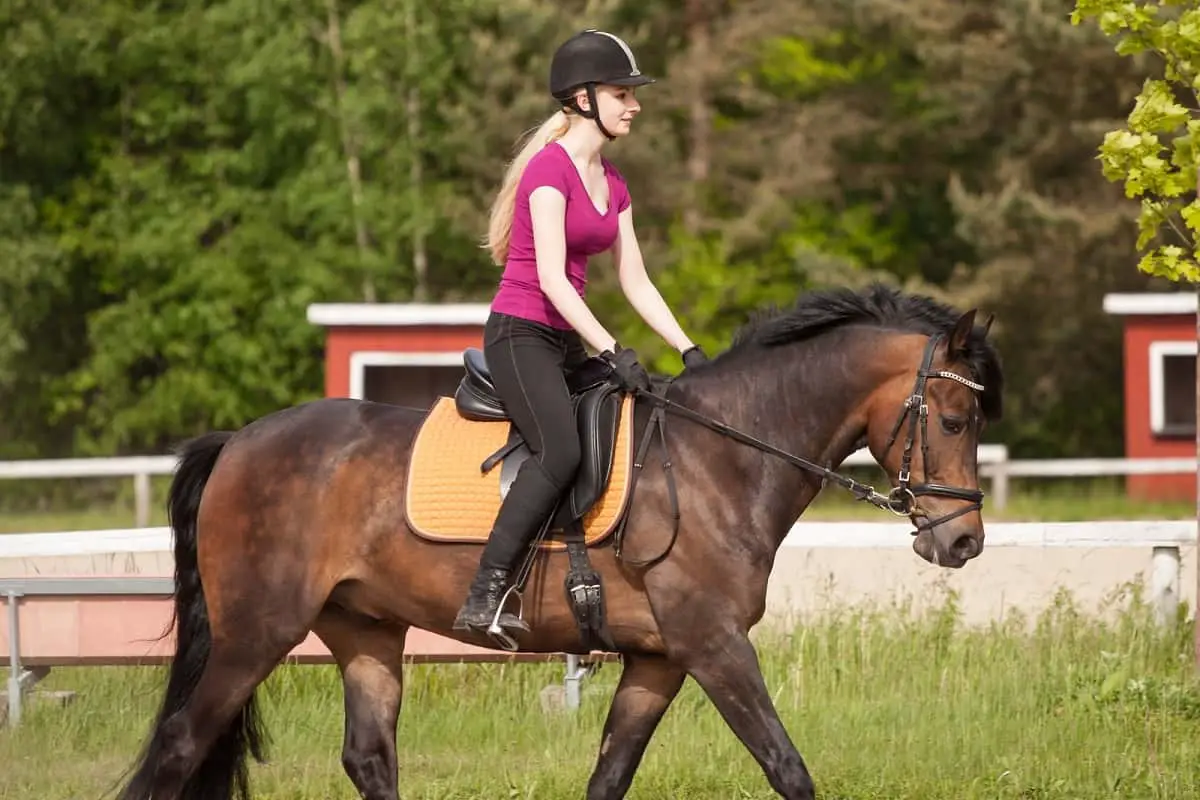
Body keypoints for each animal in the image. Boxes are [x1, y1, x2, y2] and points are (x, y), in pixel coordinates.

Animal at [114, 283, 1003, 800]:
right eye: (955, 420)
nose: (962, 544)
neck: (725, 456)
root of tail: (239, 440)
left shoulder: (659, 659)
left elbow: (609, 777)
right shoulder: (714, 645)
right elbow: (788, 767)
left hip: (364, 628)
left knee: (368, 756)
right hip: (256, 631)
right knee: (179, 747)